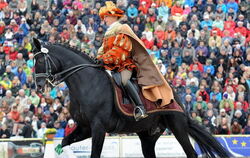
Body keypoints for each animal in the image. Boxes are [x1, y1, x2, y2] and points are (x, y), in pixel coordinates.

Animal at [32, 38, 230, 158]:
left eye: (40, 61)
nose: (39, 86)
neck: (86, 83)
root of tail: (175, 95)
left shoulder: (98, 128)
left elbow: (94, 153)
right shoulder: (85, 128)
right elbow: (64, 142)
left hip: (177, 126)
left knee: (191, 153)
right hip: (148, 135)